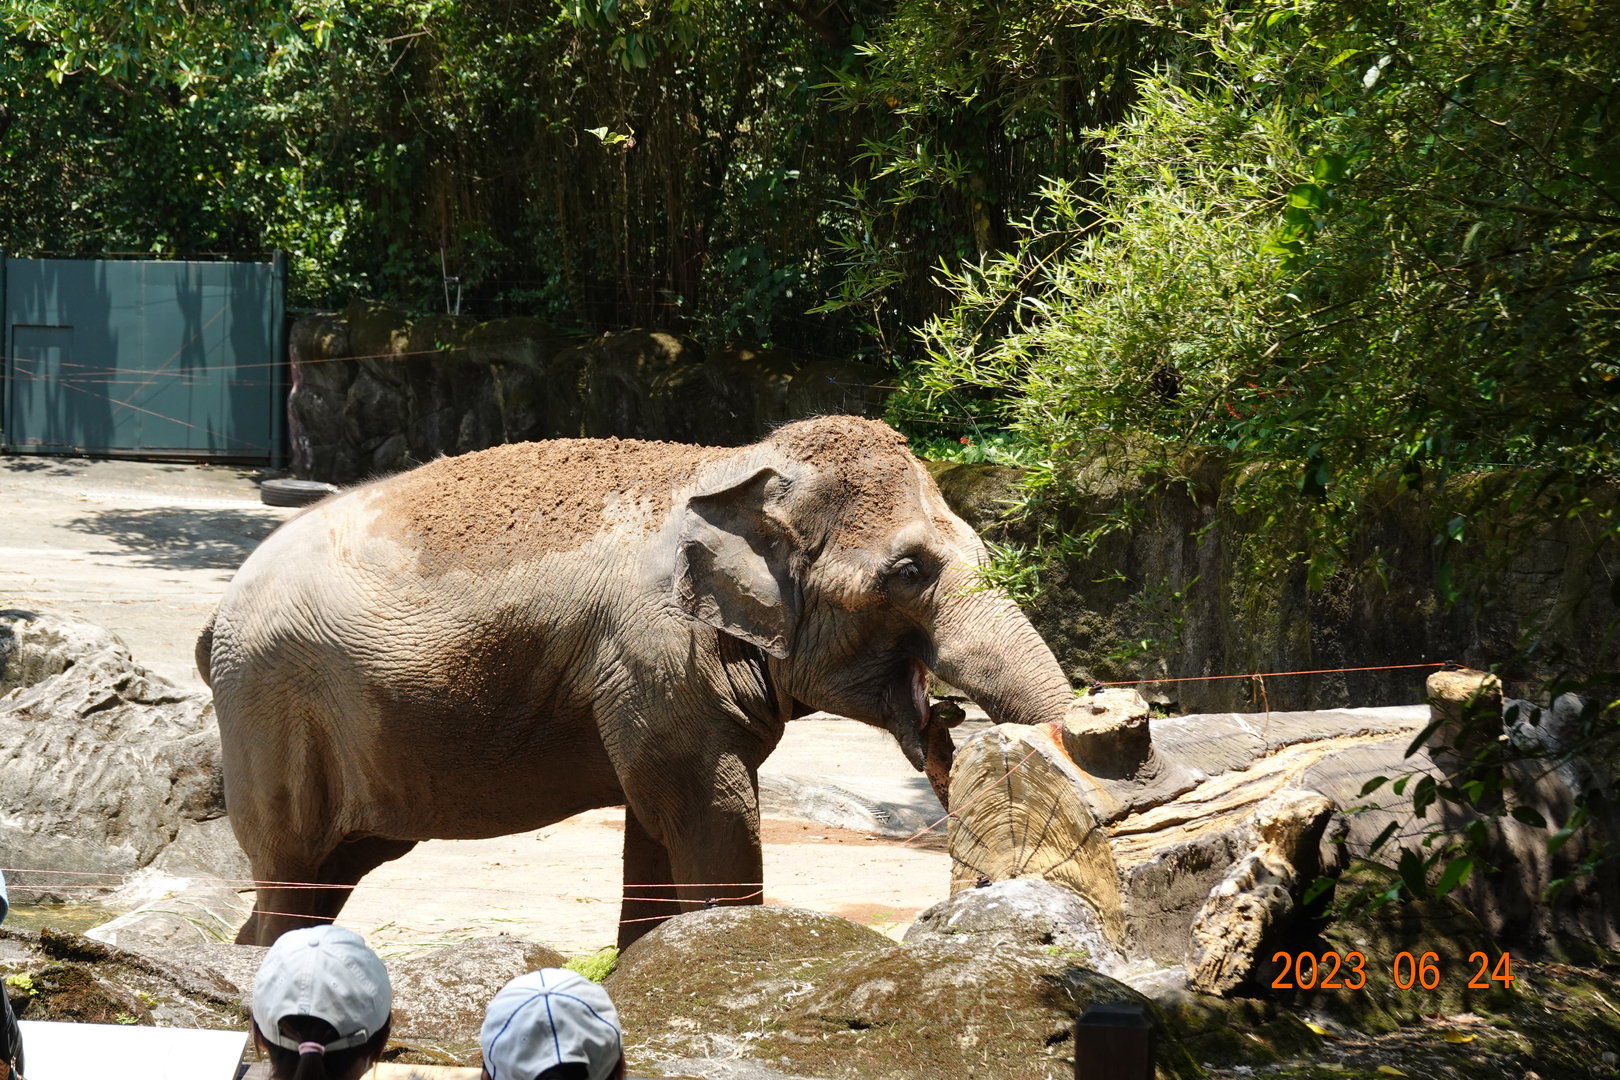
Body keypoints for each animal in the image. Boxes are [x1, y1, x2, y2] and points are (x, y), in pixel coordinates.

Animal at [200, 415, 1075, 947]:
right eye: (908, 571)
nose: (950, 724)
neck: (734, 468)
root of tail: (218, 616)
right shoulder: (657, 653)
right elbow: (711, 812)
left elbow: (657, 826)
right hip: (276, 708)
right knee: (292, 870)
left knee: (330, 873)